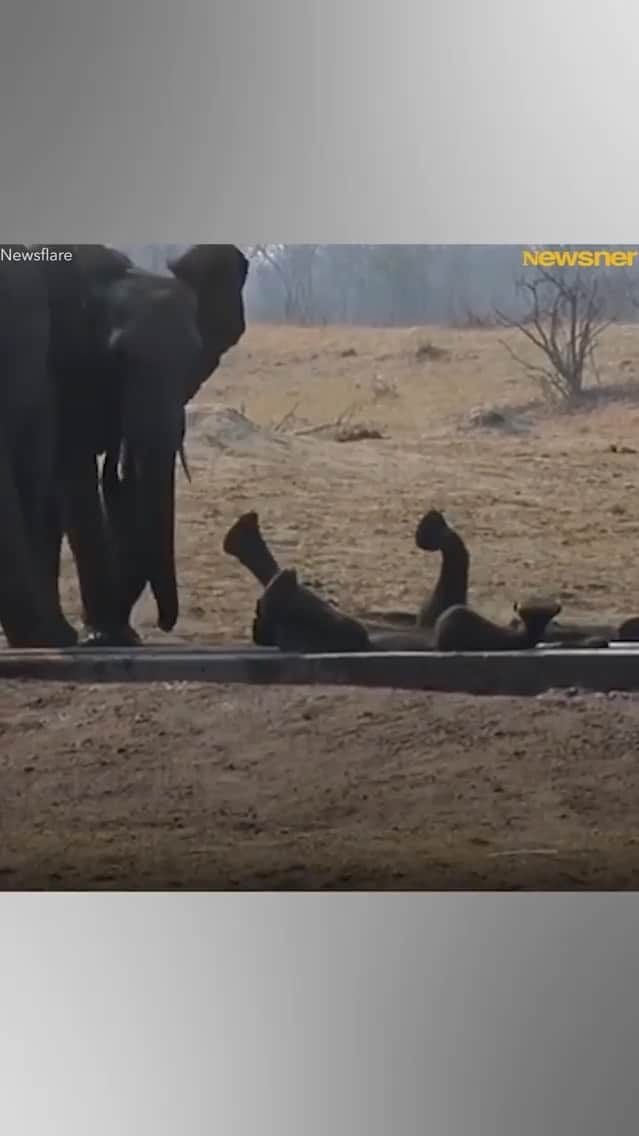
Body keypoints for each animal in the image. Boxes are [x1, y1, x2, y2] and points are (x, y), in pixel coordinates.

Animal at [36, 243, 247, 645]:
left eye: (192, 355)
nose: (164, 624)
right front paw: (103, 637)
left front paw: (115, 633)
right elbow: (75, 473)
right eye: (118, 357)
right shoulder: (64, 370)